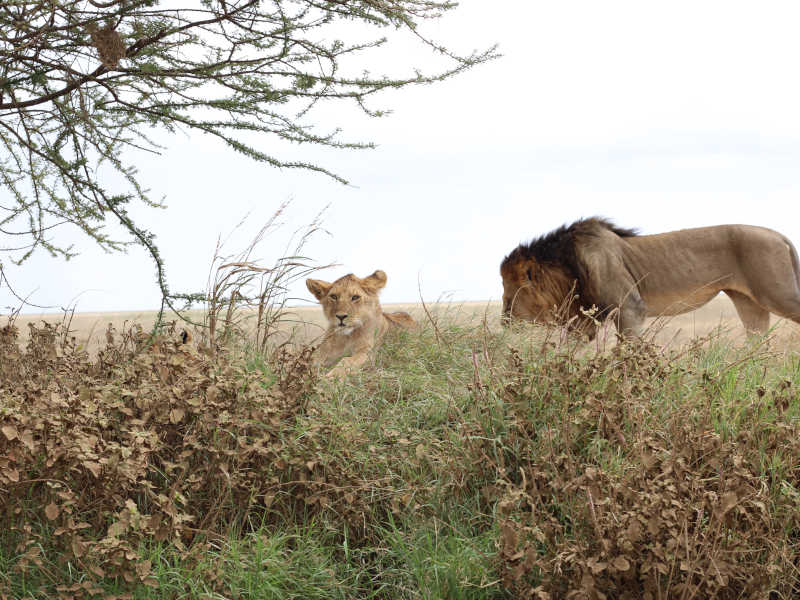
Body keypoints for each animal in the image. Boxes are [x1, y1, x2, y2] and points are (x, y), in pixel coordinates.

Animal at [500, 218, 800, 338]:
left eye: (510, 293)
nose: (505, 321)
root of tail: (777, 234)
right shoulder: (584, 321)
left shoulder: (630, 307)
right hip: (750, 304)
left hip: (778, 293)